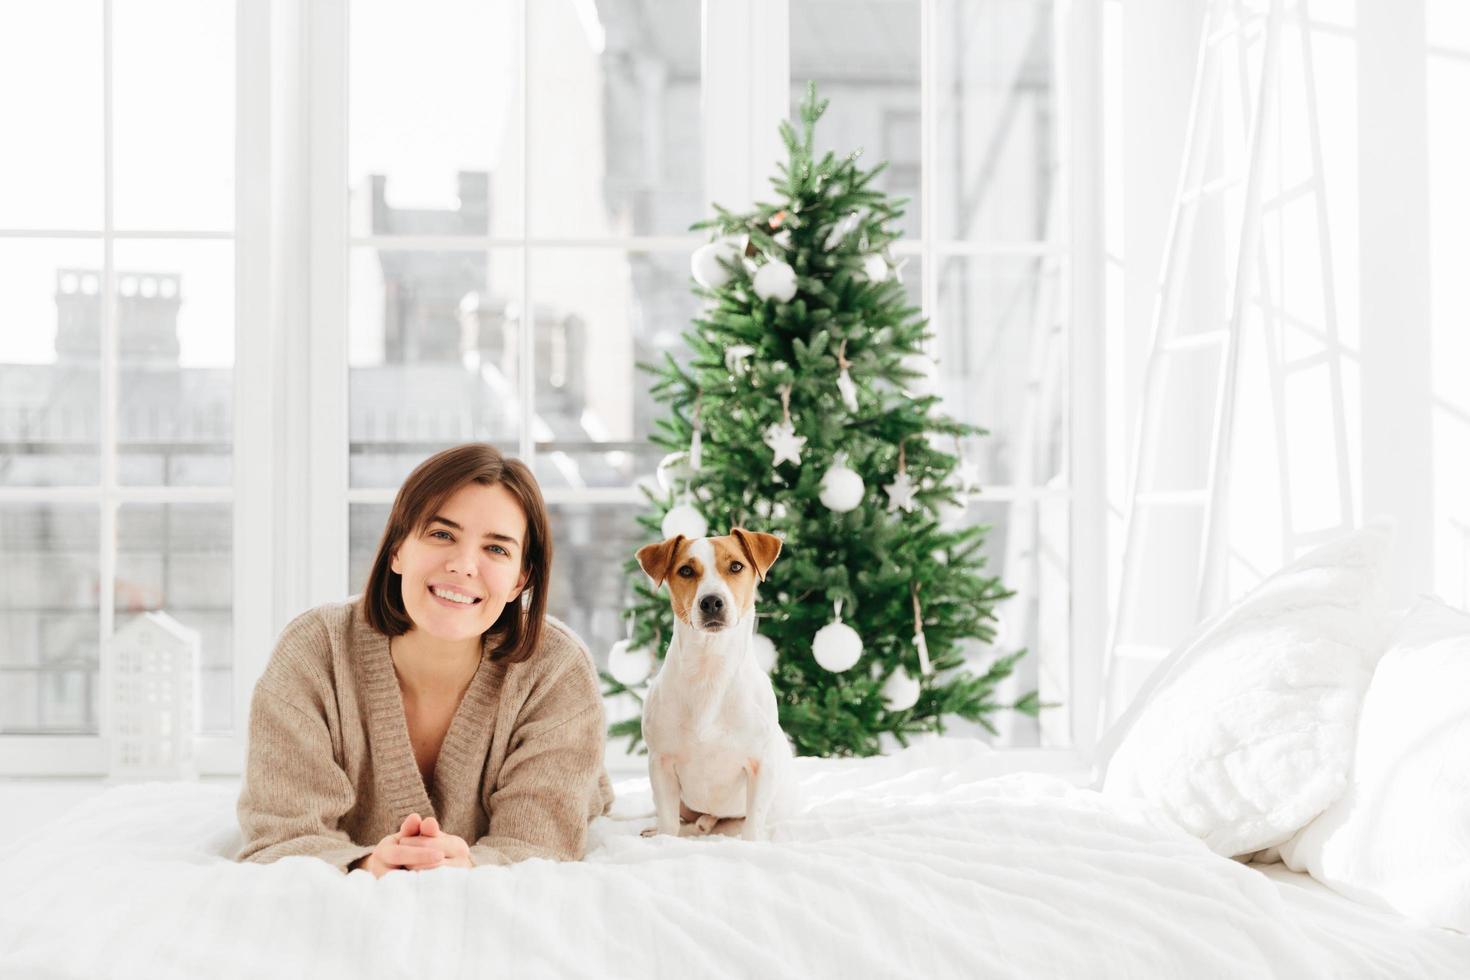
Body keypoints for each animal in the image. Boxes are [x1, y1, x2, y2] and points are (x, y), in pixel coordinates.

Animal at [637, 528, 805, 846]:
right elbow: (669, 823)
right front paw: (664, 840)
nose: (712, 601)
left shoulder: (761, 765)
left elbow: (753, 825)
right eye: (686, 570)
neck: (709, 669)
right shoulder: (660, 763)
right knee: (687, 822)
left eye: (736, 566)